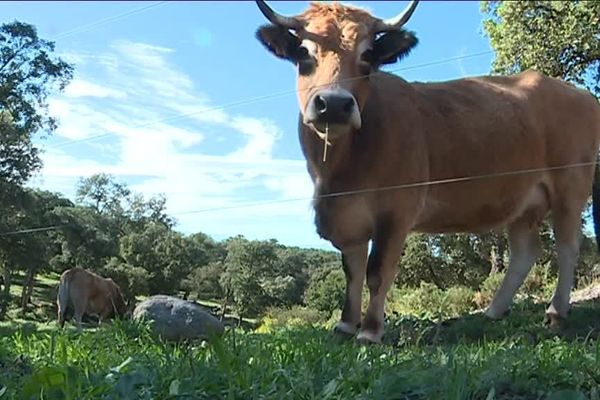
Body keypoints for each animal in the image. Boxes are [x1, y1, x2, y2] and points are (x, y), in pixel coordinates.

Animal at [255, 0, 600, 344]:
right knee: (525, 251)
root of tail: (578, 93)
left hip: (570, 185)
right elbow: (352, 272)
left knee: (567, 247)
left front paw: (370, 331)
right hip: (524, 200)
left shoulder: (397, 210)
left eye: (368, 55)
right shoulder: (346, 215)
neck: (339, 171)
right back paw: (493, 312)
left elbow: (377, 272)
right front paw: (345, 325)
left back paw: (556, 313)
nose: (335, 104)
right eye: (303, 52)